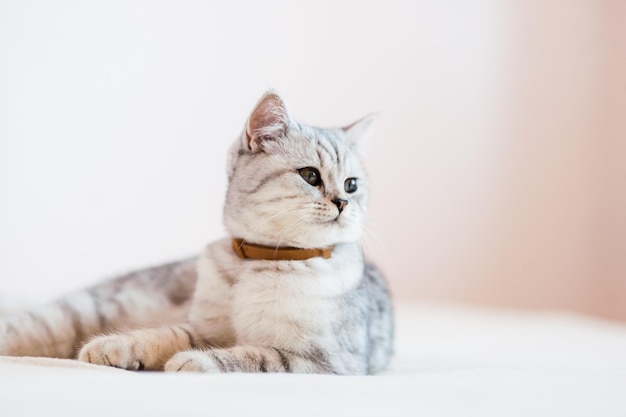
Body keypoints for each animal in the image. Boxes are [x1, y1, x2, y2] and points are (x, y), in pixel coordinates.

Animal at [0, 91, 392, 374]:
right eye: (310, 175)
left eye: (352, 184)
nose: (343, 202)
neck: (263, 261)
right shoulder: (204, 327)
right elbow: (167, 334)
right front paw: (114, 346)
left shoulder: (324, 361)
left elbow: (253, 355)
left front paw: (195, 360)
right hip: (79, 313)